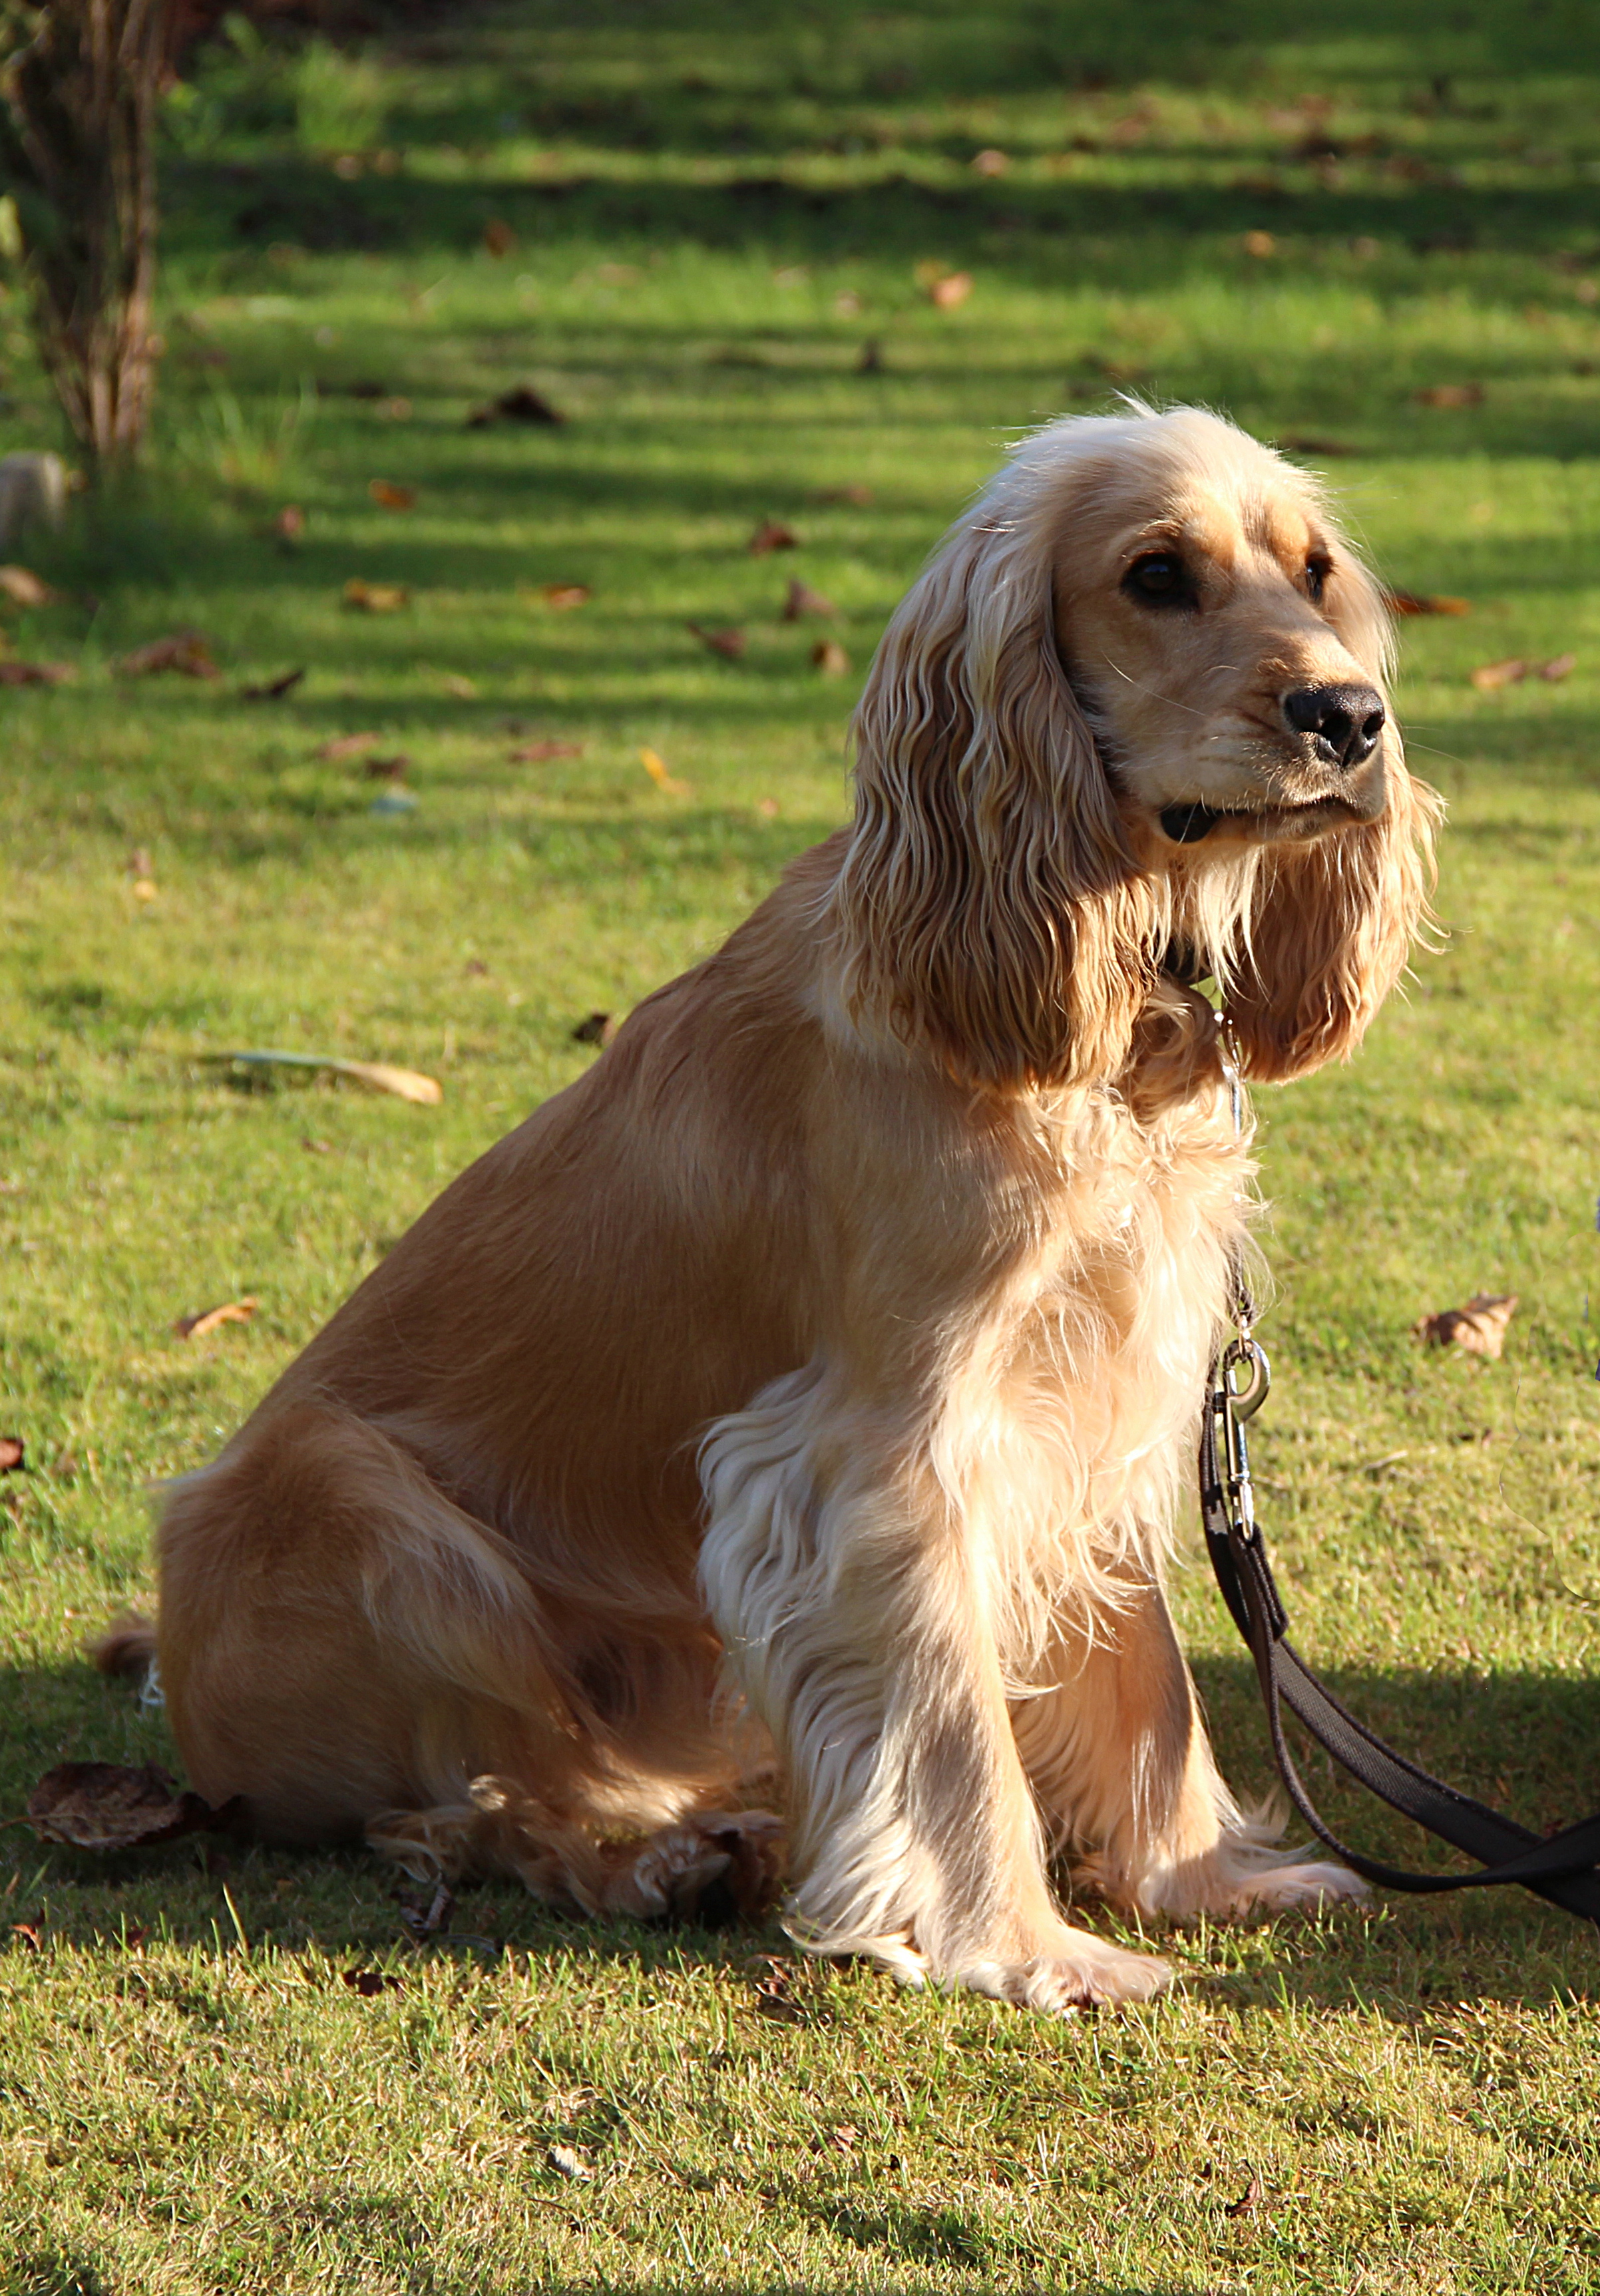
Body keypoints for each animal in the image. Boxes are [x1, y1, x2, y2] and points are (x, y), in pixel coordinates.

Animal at [108, 409, 1432, 2011]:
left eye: (1312, 573)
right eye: (1155, 575)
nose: (1348, 718)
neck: (1104, 1025)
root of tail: (176, 1691)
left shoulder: (1107, 1384)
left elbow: (1149, 1681)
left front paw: (1202, 1877)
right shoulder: (876, 1457)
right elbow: (953, 1728)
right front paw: (1029, 1949)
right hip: (381, 1527)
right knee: (466, 1807)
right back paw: (656, 1864)